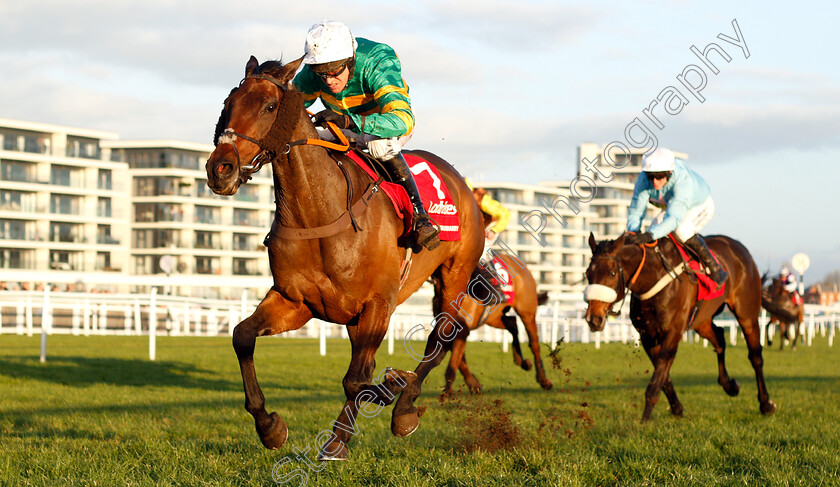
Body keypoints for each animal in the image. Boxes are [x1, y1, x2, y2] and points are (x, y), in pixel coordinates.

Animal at [205, 57, 486, 462]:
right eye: (228, 103)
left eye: (269, 106)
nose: (220, 169)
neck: (319, 214)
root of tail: (464, 186)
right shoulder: (296, 301)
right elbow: (243, 336)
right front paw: (270, 426)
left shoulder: (378, 304)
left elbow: (357, 379)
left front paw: (367, 412)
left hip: (453, 278)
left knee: (440, 340)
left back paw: (403, 408)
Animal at [442, 254, 556, 394]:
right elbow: (459, 360)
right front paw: (474, 384)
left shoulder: (462, 329)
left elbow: (455, 360)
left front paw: (449, 390)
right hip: (494, 317)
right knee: (512, 323)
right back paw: (522, 361)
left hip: (527, 312)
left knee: (534, 343)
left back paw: (543, 379)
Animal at [584, 234, 776, 422]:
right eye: (587, 274)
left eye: (612, 273)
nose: (594, 319)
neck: (654, 277)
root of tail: (740, 248)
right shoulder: (648, 336)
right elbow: (663, 376)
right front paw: (676, 408)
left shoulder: (673, 333)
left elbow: (657, 379)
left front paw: (644, 421)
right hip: (702, 321)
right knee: (720, 339)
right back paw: (729, 385)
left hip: (747, 315)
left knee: (756, 357)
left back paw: (765, 403)